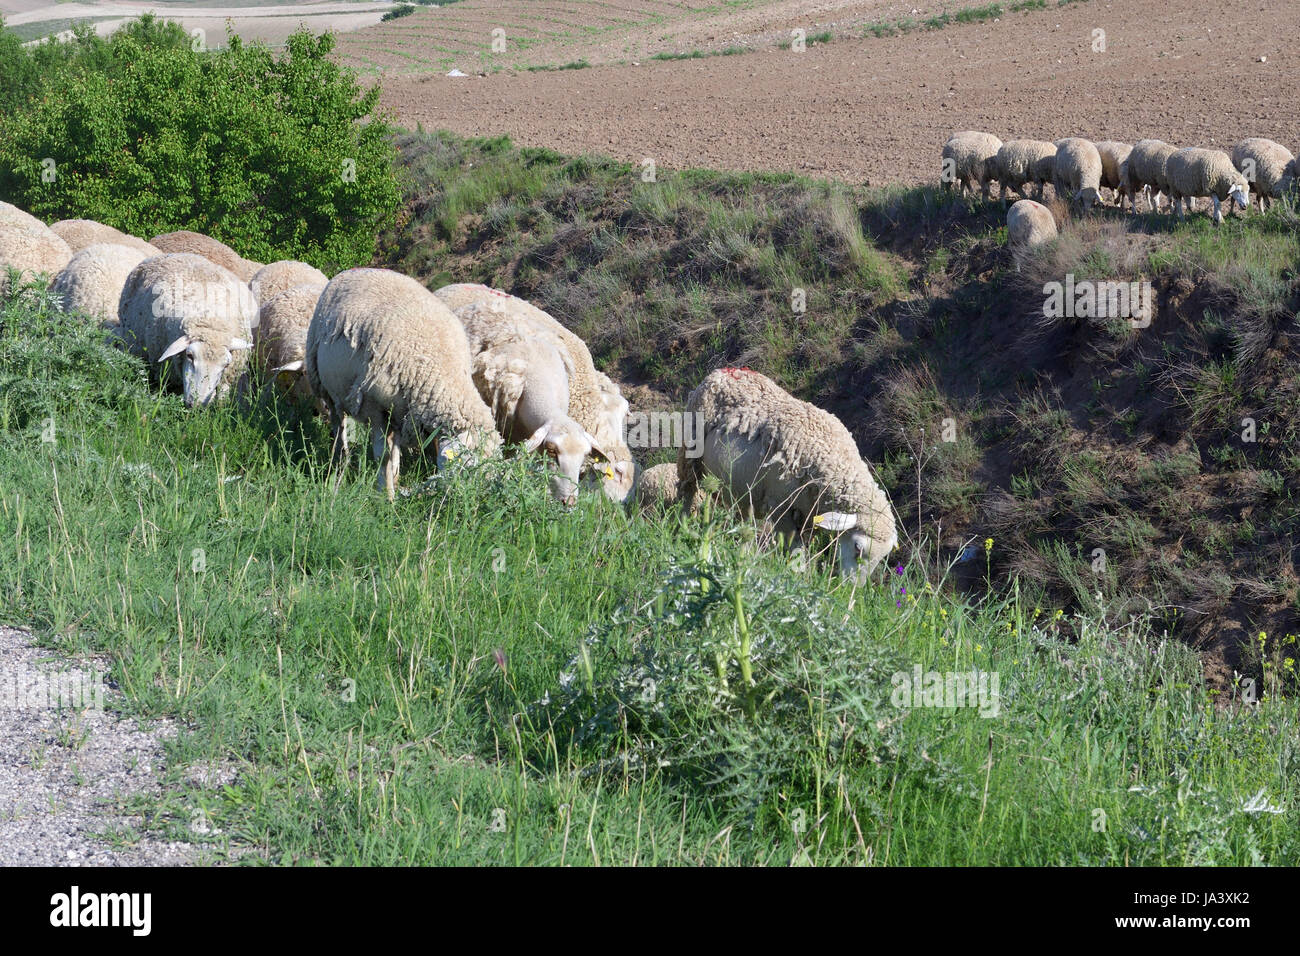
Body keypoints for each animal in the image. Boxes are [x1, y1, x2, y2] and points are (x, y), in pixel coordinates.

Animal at [304, 265, 501, 496]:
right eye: (468, 468)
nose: (475, 502)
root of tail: (354, 270)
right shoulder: (375, 408)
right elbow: (382, 457)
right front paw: (386, 495)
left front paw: (393, 484)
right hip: (324, 385)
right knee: (338, 424)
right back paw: (340, 460)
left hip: (397, 408)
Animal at [676, 369, 899, 582]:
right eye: (858, 547)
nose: (851, 587)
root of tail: (724, 372)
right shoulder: (779, 504)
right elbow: (794, 547)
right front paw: (797, 575)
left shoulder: (808, 513)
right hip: (690, 453)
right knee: (688, 491)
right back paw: (683, 528)